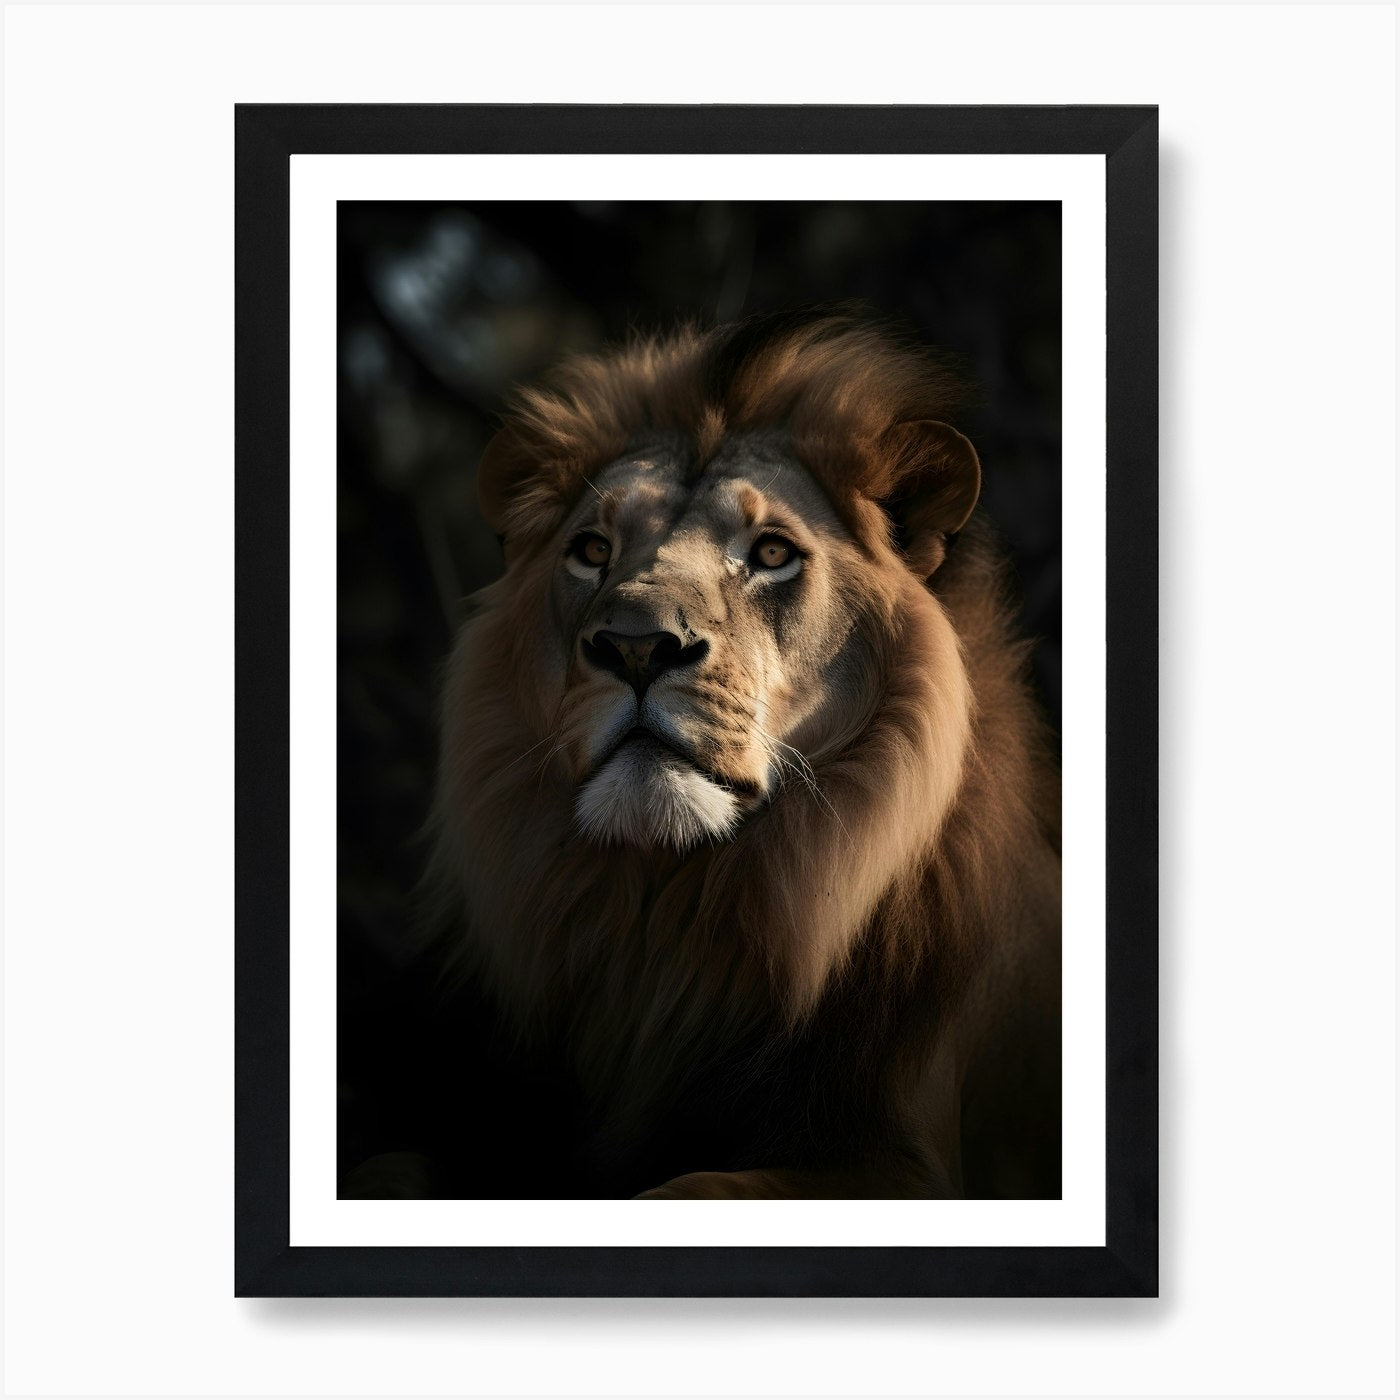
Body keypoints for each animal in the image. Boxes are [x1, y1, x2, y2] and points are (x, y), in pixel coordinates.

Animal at [418, 309, 1061, 1200]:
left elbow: (691, 1188)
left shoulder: (910, 1166)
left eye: (771, 553)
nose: (636, 646)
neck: (666, 928)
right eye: (592, 550)